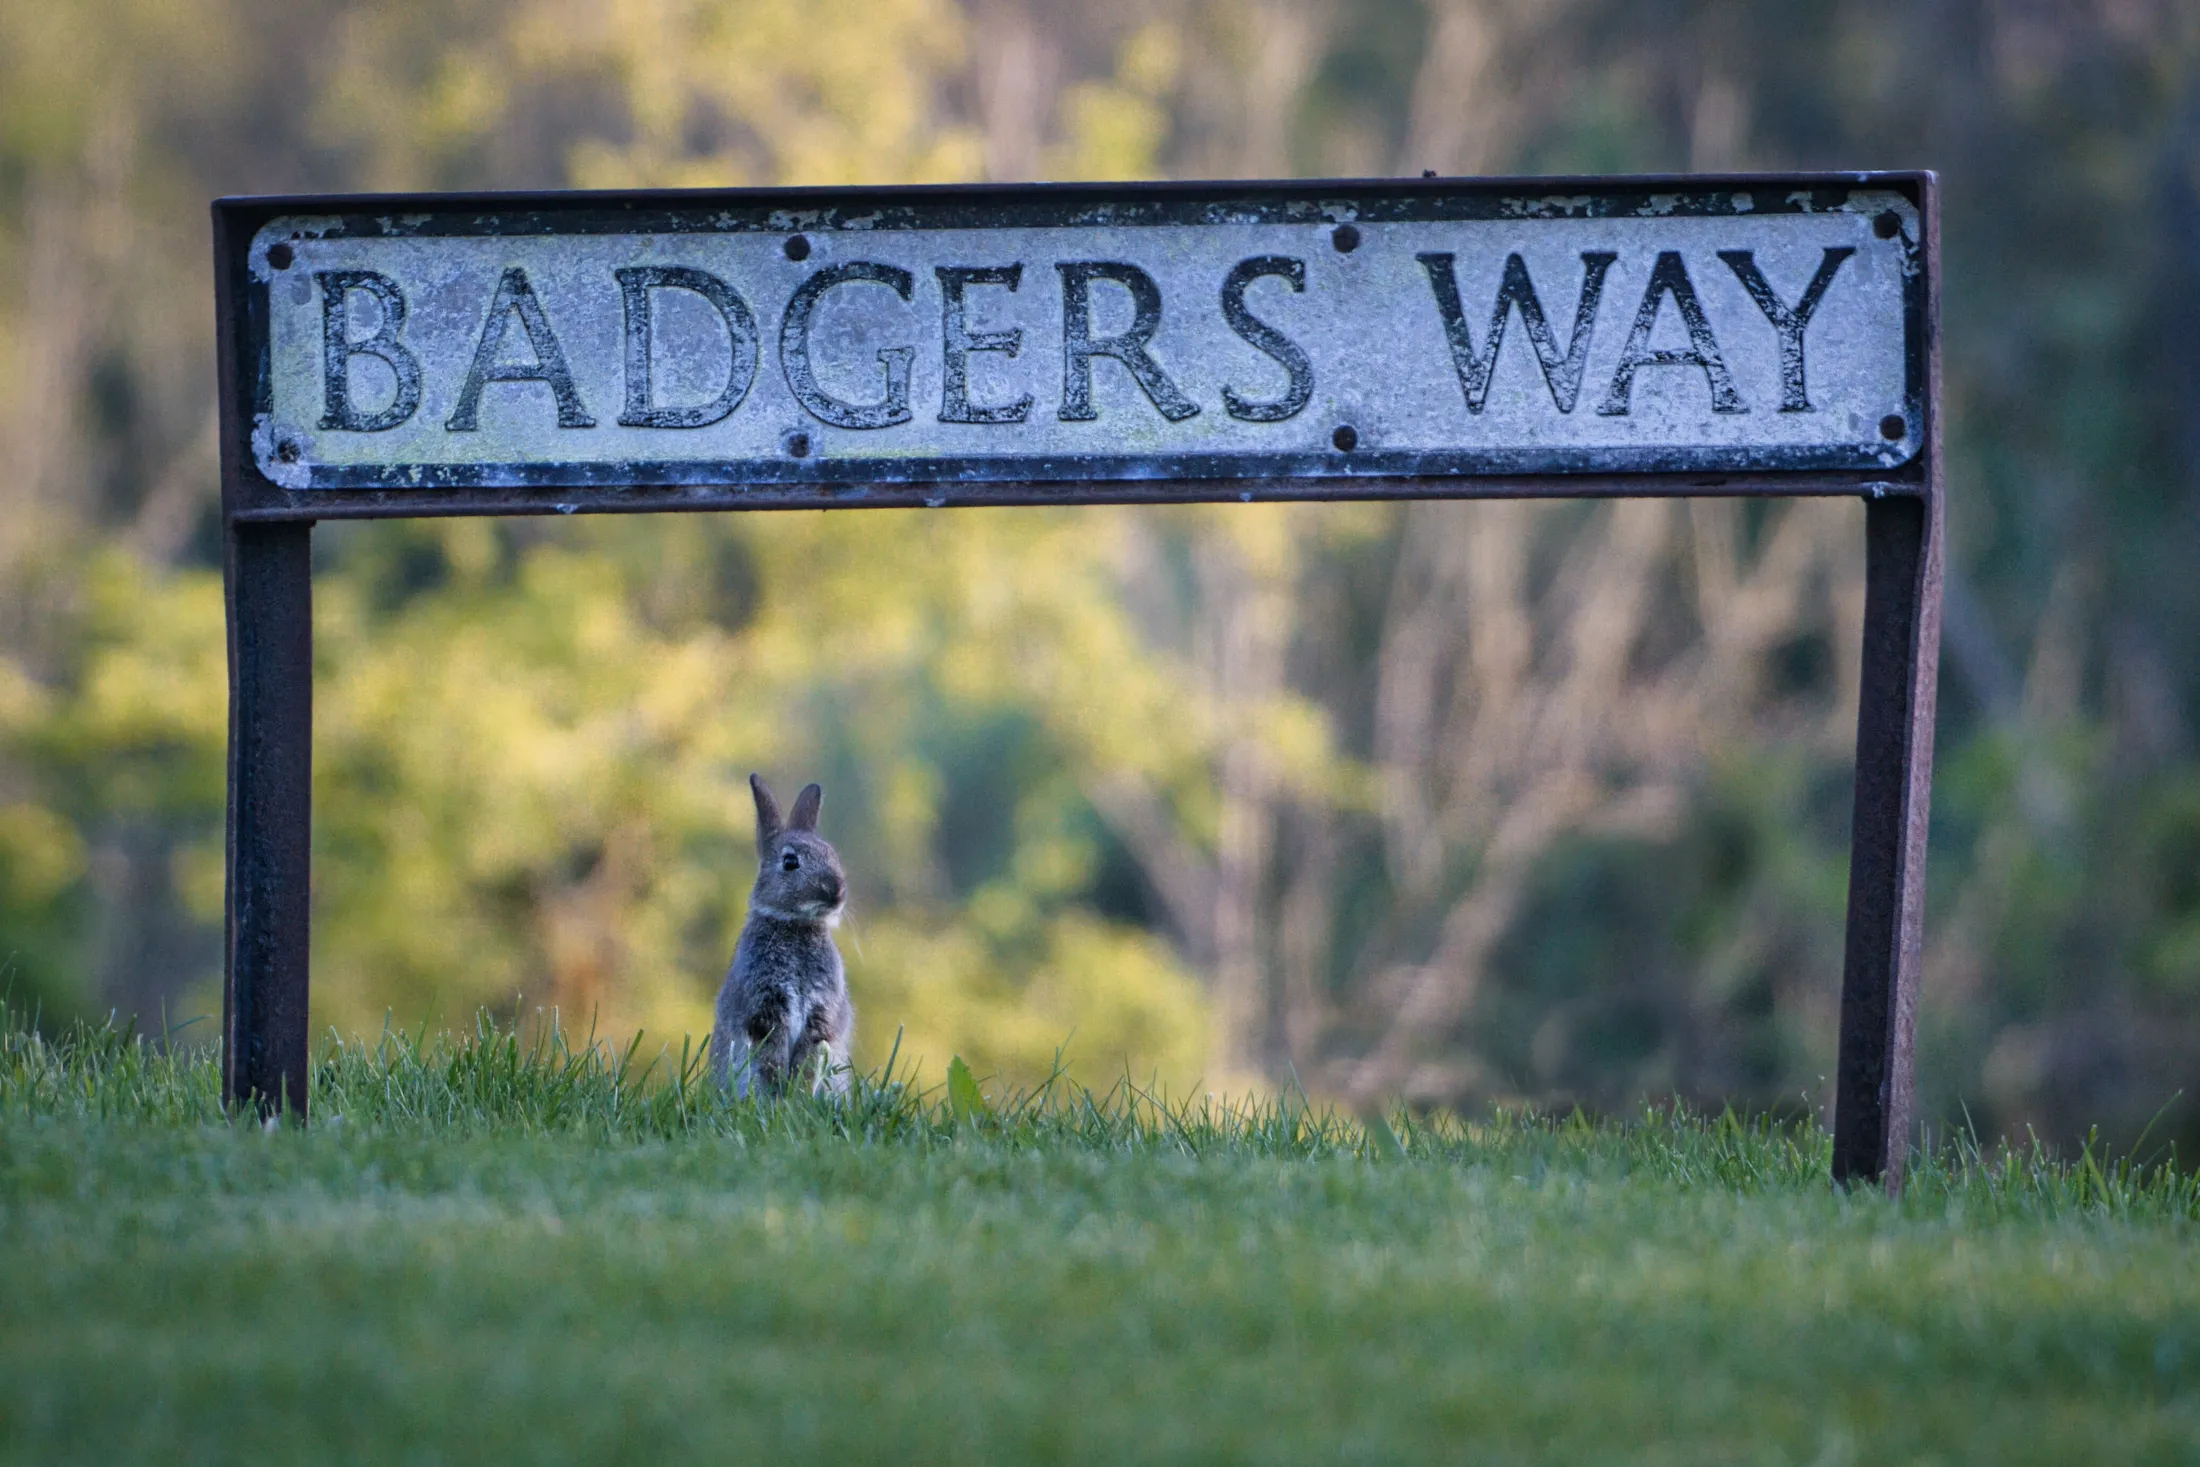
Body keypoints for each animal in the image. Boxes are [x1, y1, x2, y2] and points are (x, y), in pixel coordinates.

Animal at [709, 774, 855, 1099]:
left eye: (833, 855)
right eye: (790, 862)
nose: (837, 891)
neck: (796, 925)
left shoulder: (821, 1013)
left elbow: (809, 1056)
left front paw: (796, 1096)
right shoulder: (765, 1009)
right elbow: (771, 1057)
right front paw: (779, 1098)